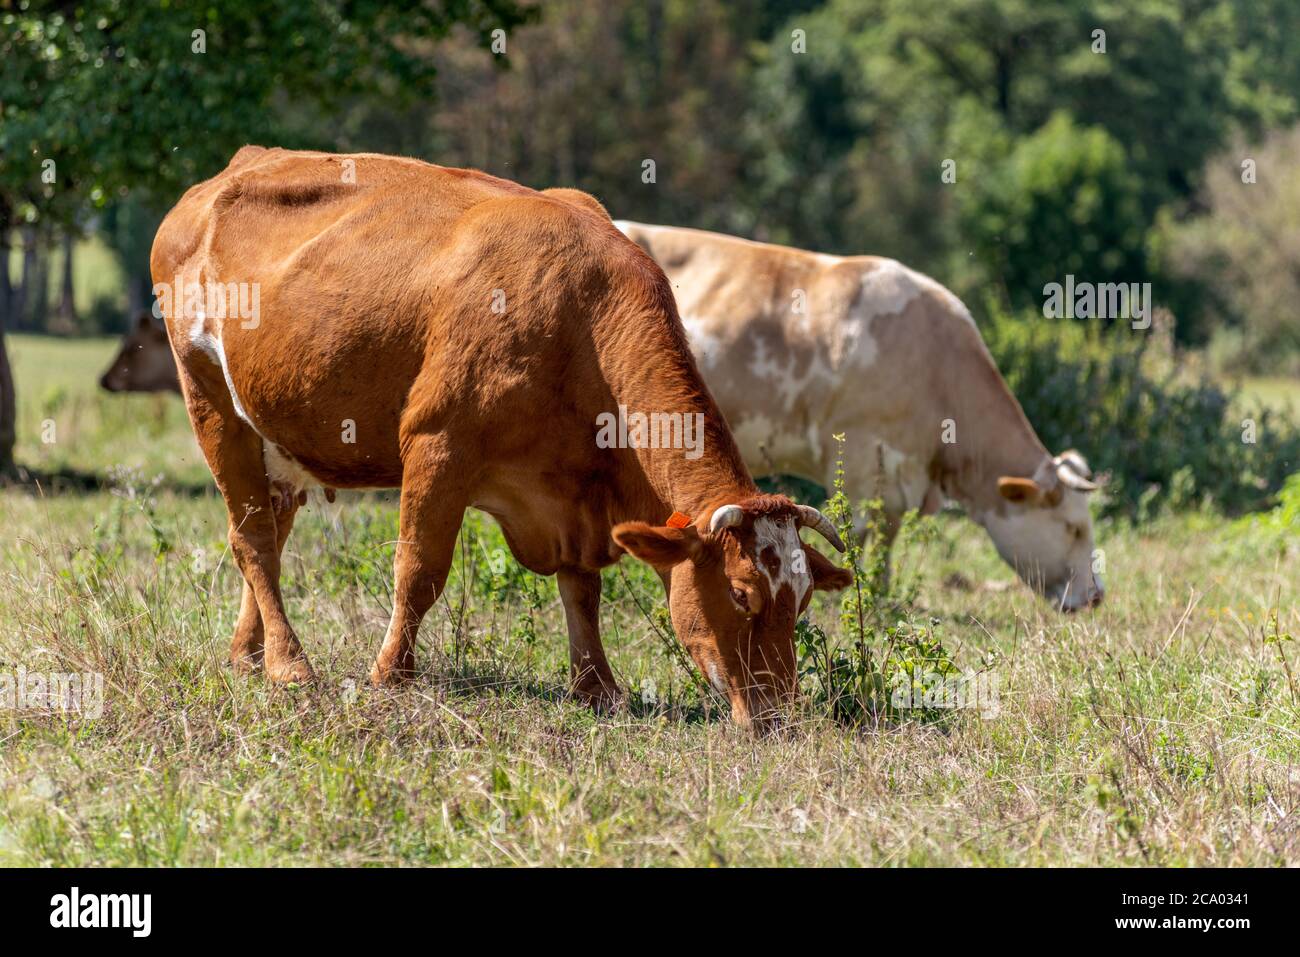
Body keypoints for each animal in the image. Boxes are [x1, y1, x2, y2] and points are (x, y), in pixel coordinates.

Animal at [149, 147, 852, 722]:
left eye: (804, 600)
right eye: (740, 593)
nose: (778, 717)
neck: (582, 317)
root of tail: (227, 174)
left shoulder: (574, 496)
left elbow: (582, 588)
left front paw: (597, 687)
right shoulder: (438, 442)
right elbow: (420, 570)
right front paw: (390, 676)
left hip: (276, 430)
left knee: (274, 521)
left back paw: (247, 653)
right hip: (209, 399)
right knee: (254, 540)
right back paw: (289, 664)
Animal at [613, 221, 1102, 608]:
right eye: (1074, 528)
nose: (1097, 596)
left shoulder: (900, 479)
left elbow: (887, 538)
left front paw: (883, 595)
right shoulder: (863, 456)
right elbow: (862, 533)